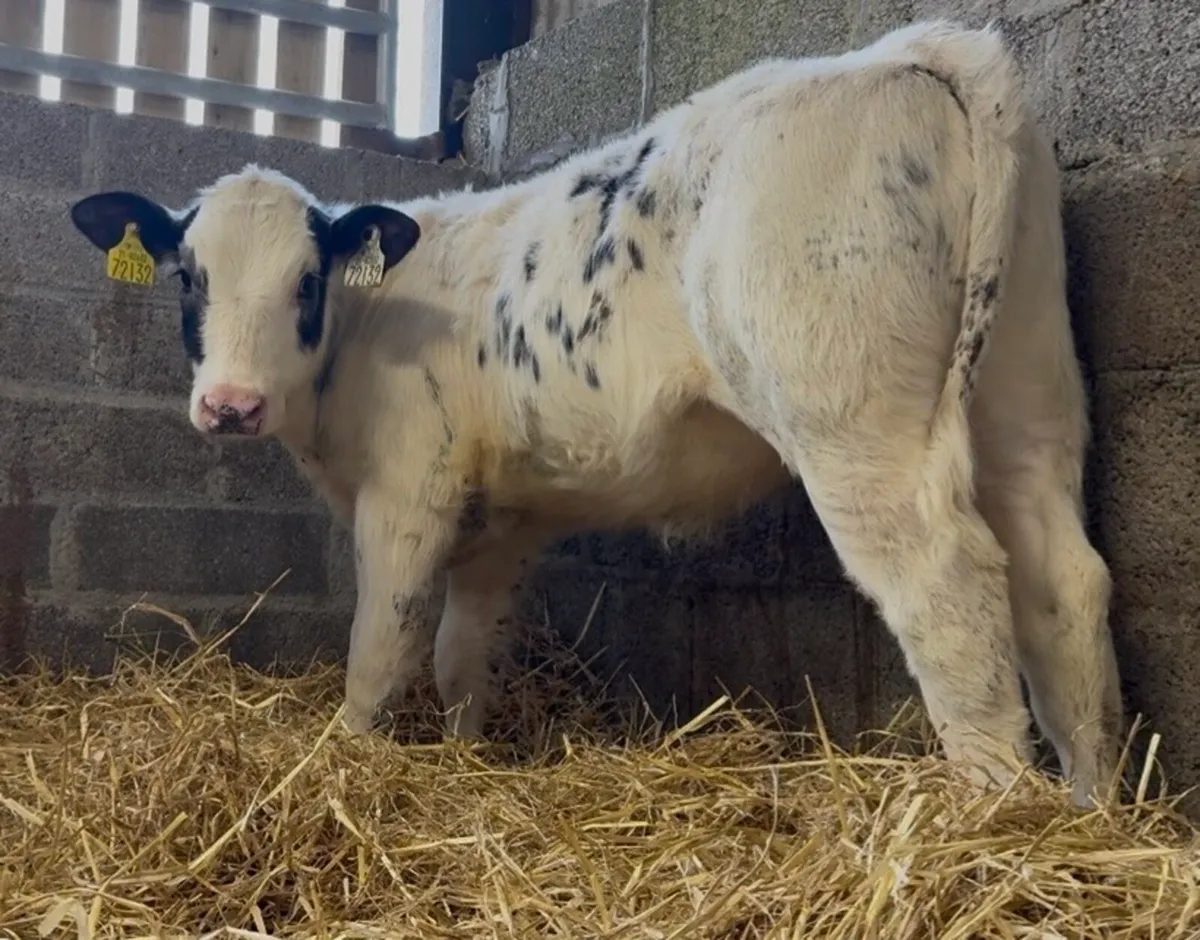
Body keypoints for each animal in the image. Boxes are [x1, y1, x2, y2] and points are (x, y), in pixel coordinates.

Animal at [69, 19, 1124, 807]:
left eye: (306, 281)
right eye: (189, 278)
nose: (230, 405)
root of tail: (918, 46)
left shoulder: (410, 490)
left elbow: (383, 644)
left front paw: (343, 759)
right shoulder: (502, 522)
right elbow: (462, 655)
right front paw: (465, 757)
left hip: (857, 421)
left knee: (948, 582)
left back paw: (990, 817)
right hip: (1026, 386)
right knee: (1063, 576)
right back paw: (1092, 809)